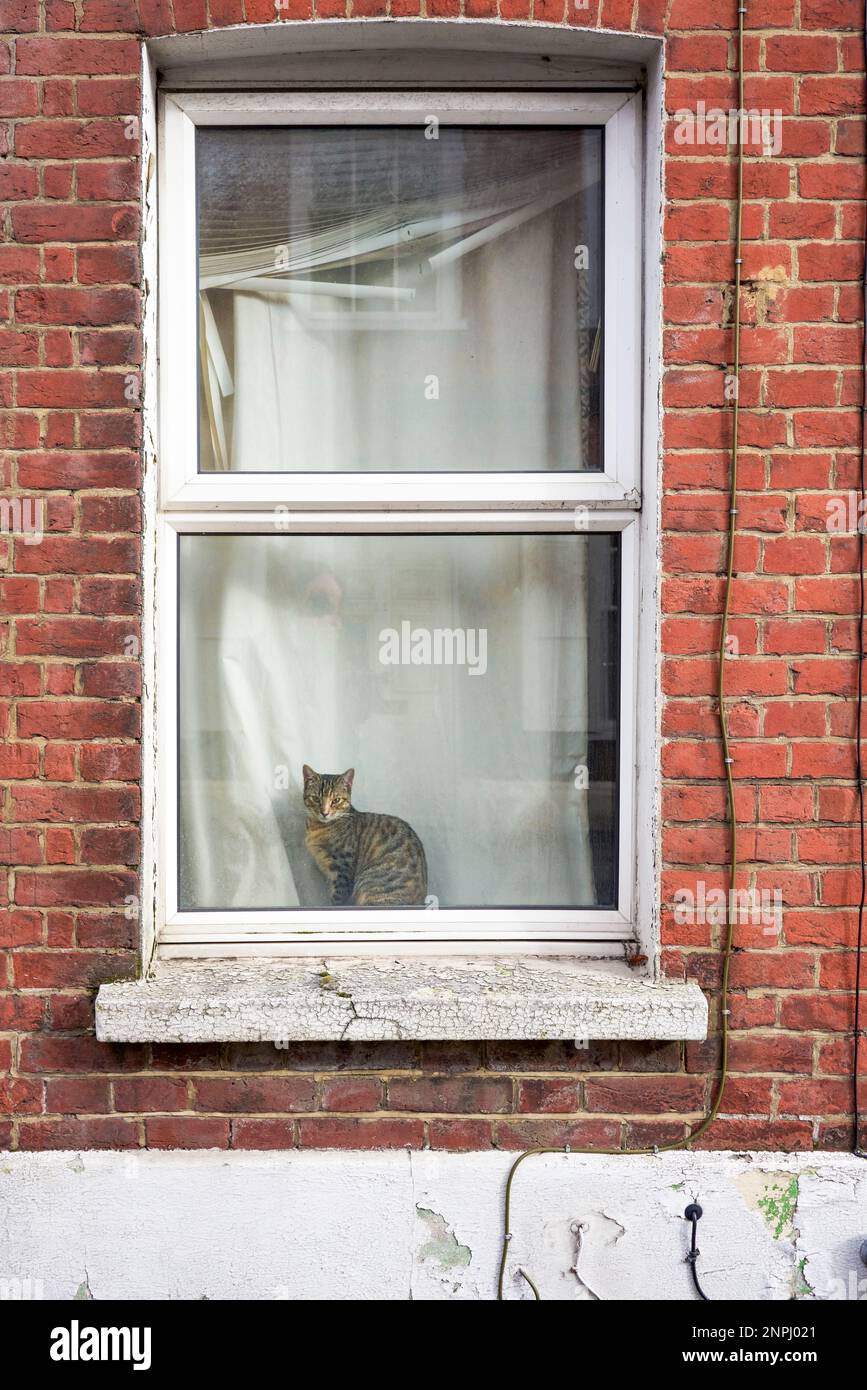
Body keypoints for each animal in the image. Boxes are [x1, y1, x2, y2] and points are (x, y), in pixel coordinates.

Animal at [302, 767, 427, 906]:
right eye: (316, 798)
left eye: (336, 800)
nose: (324, 813)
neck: (318, 827)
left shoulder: (342, 869)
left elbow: (338, 898)